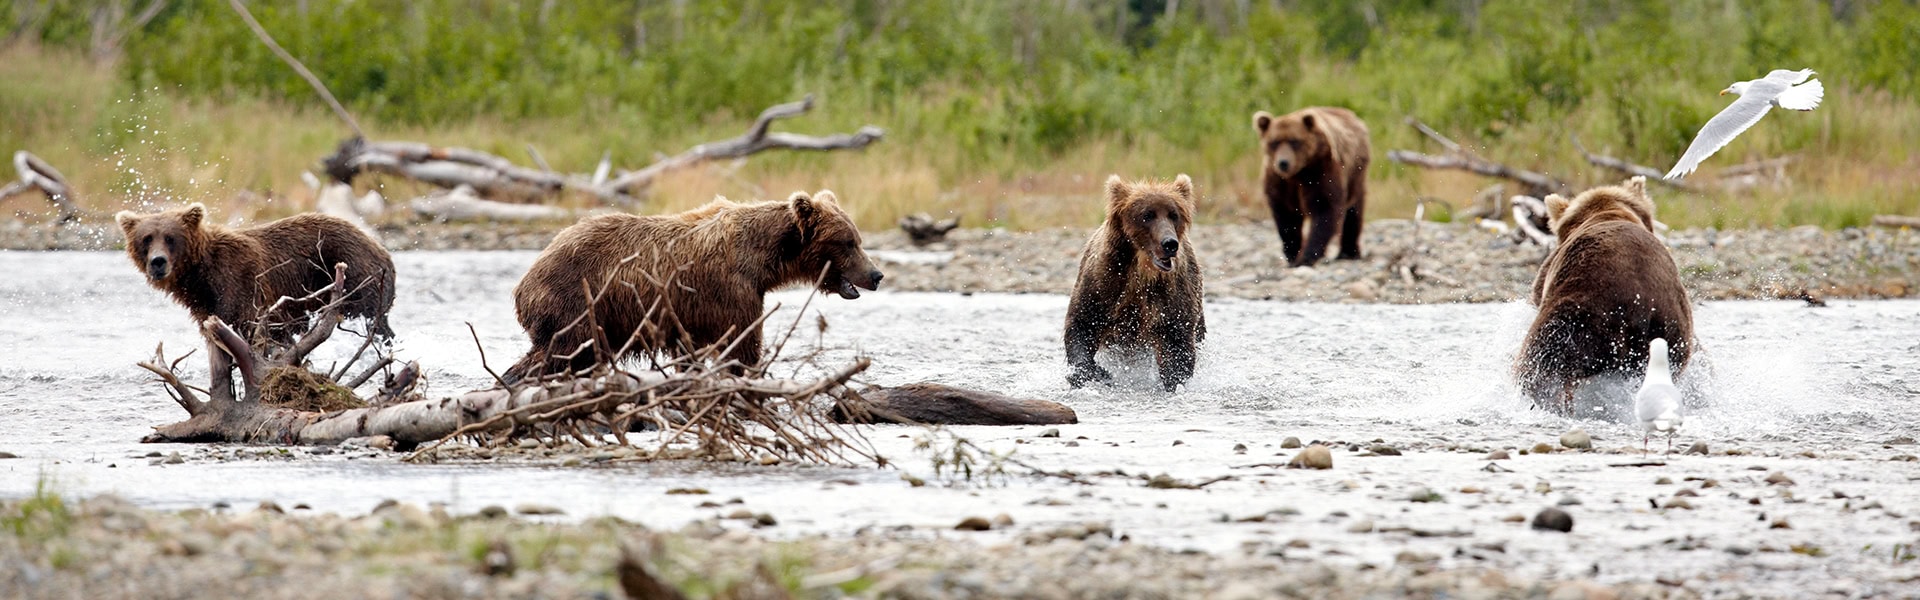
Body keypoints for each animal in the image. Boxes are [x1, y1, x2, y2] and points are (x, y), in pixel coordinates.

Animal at [116, 203, 397, 342]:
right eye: (146, 238)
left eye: (170, 237)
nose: (158, 262)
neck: (199, 276)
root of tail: (384, 250)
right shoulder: (203, 304)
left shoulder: (239, 281)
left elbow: (250, 324)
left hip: (357, 275)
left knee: (373, 320)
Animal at [502, 190, 883, 382]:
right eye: (848, 242)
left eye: (857, 239)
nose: (876, 274)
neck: (764, 261)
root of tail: (525, 279)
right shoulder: (732, 291)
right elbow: (741, 345)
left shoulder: (694, 313)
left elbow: (693, 352)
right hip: (577, 301)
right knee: (562, 352)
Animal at [1064, 174, 1207, 392]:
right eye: (1147, 215)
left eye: (1174, 215)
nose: (1169, 243)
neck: (1141, 272)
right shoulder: (1102, 283)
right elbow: (1082, 323)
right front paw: (1097, 373)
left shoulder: (1170, 295)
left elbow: (1177, 342)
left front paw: (1173, 380)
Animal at [1251, 107, 1372, 266]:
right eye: (1274, 142)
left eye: (1294, 141)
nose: (1283, 163)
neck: (1298, 173)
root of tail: (1352, 115)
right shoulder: (1278, 180)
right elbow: (1286, 216)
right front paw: (1293, 253)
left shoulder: (1320, 170)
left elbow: (1324, 209)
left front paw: (1306, 256)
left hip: (1355, 170)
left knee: (1354, 209)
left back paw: (1348, 253)